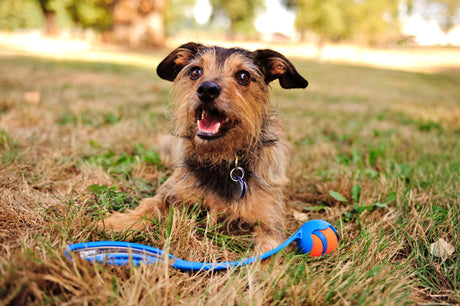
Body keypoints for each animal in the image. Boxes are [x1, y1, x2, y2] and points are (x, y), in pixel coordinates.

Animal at [101, 42, 310, 253]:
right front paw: (119, 223)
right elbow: (149, 204)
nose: (207, 89)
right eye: (196, 72)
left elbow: (268, 253)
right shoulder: (173, 191)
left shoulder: (270, 223)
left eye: (243, 76)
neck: (221, 160)